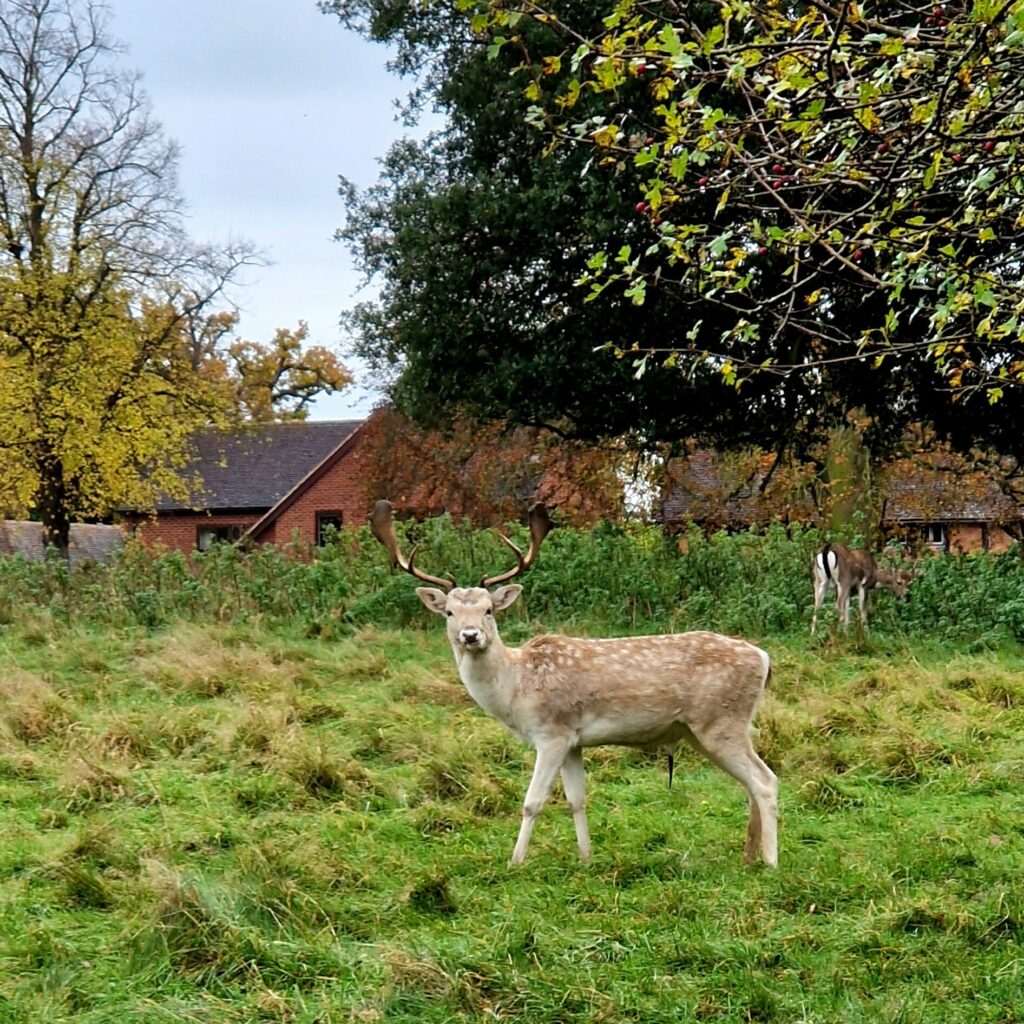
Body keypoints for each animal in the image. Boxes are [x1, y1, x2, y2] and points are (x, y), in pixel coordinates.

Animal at [368, 499, 774, 868]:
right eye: (450, 612)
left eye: (489, 610)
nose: (470, 636)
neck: (516, 689)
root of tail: (764, 658)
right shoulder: (573, 741)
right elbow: (576, 798)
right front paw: (586, 858)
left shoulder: (551, 733)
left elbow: (532, 802)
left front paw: (515, 863)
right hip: (711, 728)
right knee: (750, 784)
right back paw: (748, 856)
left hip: (720, 722)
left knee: (765, 781)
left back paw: (770, 863)